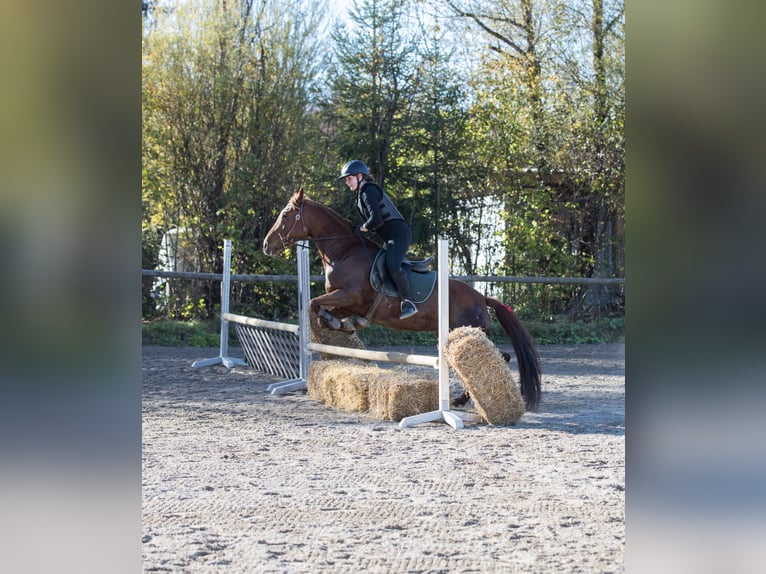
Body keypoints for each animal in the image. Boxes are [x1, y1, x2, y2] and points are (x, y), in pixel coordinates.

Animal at [262, 189, 540, 410]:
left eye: (286, 215)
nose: (266, 245)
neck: (344, 252)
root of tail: (481, 296)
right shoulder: (349, 303)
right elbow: (322, 310)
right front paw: (344, 325)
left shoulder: (349, 295)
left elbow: (314, 304)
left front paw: (341, 324)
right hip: (455, 333)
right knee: (496, 357)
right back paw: (463, 399)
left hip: (464, 331)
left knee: (496, 358)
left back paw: (463, 400)